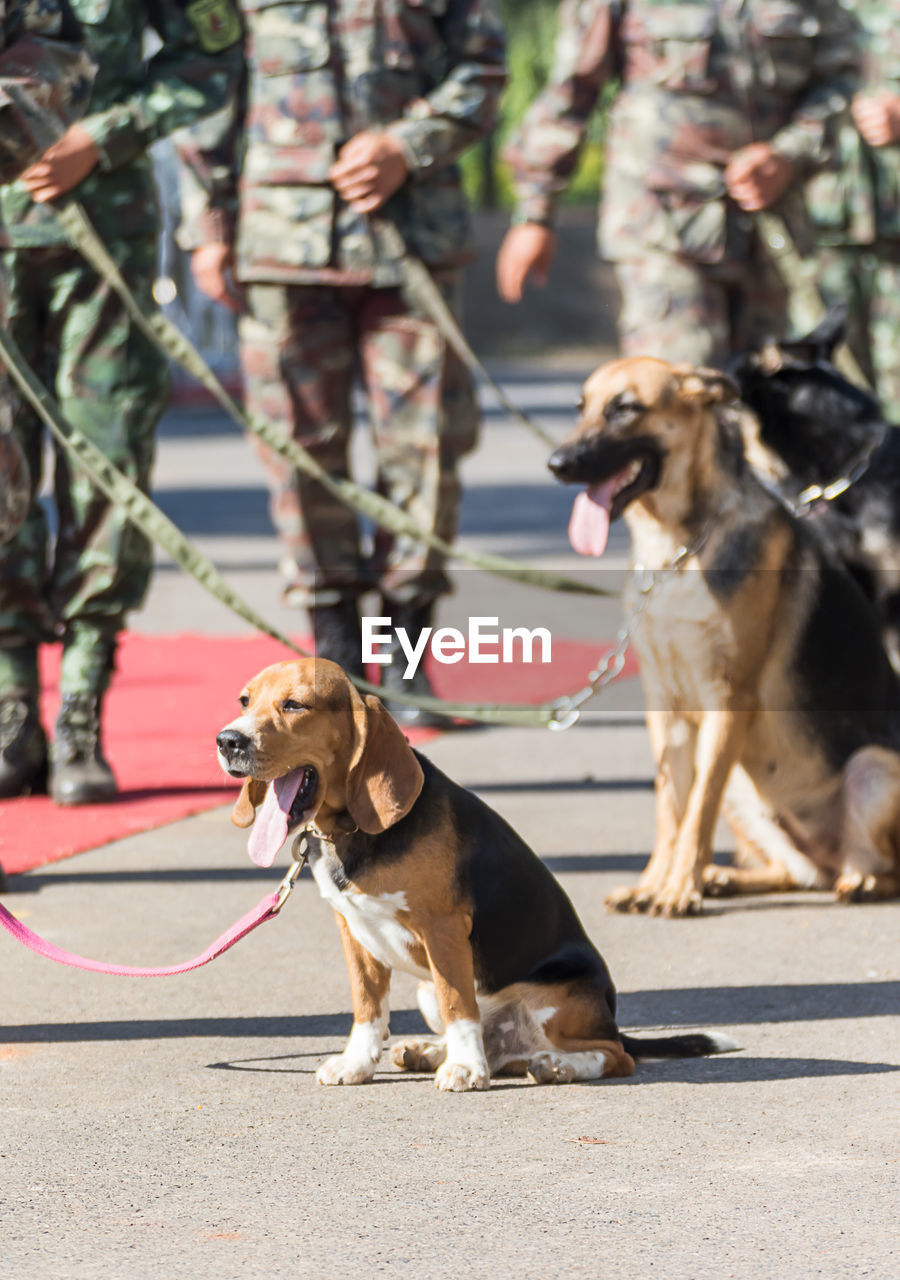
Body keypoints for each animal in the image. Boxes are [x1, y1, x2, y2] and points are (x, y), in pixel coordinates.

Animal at [215, 660, 737, 1090]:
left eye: (294, 704)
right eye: (244, 701)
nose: (227, 741)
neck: (350, 833)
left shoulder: (443, 929)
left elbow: (458, 1003)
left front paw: (466, 1071)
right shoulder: (353, 933)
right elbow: (368, 1008)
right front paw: (358, 1064)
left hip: (556, 999)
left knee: (614, 1055)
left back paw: (555, 1064)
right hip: (426, 990)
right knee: (499, 1046)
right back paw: (433, 1052)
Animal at [547, 360, 900, 916]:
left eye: (625, 409)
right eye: (582, 407)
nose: (557, 464)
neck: (675, 552)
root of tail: (831, 858)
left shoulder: (728, 702)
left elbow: (698, 811)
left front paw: (677, 889)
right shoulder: (665, 712)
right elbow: (671, 809)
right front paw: (654, 883)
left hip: (872, 771)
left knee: (881, 870)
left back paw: (860, 881)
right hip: (748, 787)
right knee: (795, 874)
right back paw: (726, 878)